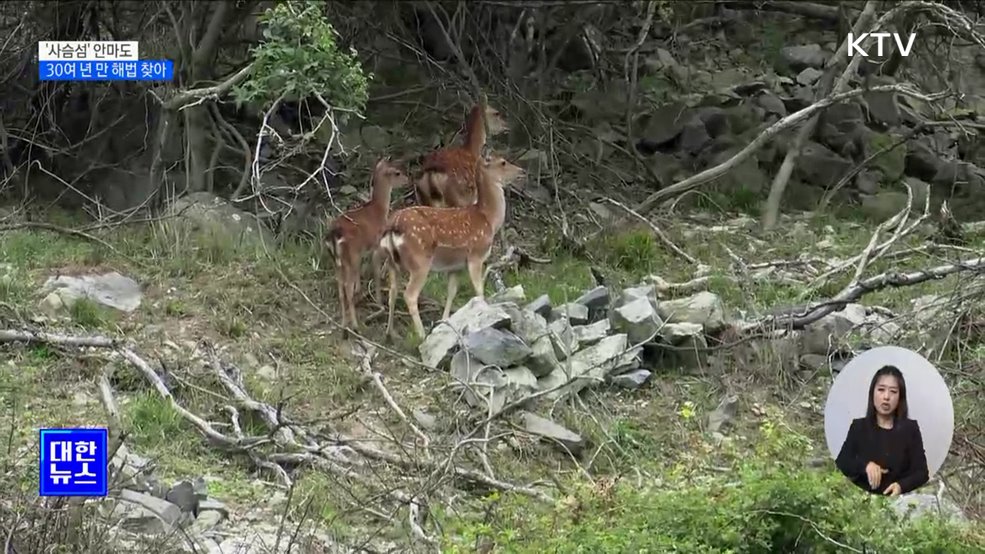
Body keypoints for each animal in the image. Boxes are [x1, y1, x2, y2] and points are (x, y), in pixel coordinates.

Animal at [324, 155, 410, 330]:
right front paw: (378, 302)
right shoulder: (375, 245)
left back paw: (344, 324)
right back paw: (355, 326)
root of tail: (334, 236)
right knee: (347, 289)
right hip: (350, 256)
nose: (408, 180)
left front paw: (361, 291)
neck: (379, 209)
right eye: (397, 173)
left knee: (341, 290)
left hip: (337, 261)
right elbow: (375, 272)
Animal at [380, 153, 528, 338]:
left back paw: (390, 333)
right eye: (503, 162)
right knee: (409, 294)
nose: (522, 171)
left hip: (391, 262)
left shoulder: (455, 267)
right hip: (420, 260)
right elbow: (479, 291)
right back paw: (421, 334)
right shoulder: (476, 256)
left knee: (392, 291)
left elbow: (451, 292)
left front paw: (445, 322)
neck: (488, 219)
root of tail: (393, 227)